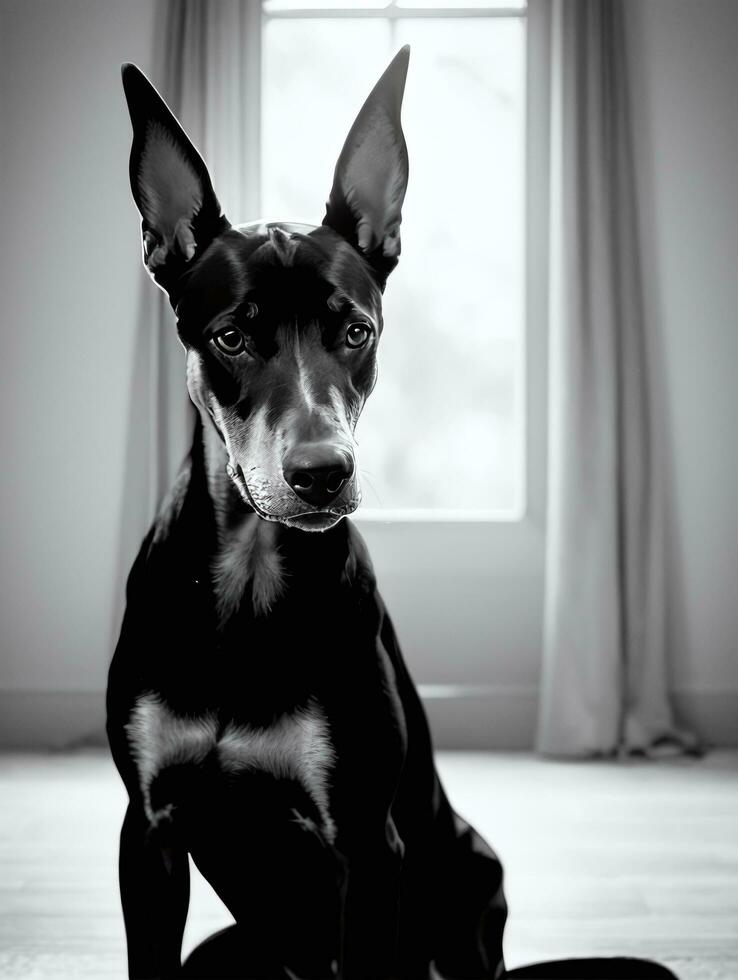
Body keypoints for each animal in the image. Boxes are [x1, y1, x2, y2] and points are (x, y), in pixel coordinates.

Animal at [106, 47, 676, 980]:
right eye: (231, 336)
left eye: (356, 331)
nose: (321, 474)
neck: (250, 582)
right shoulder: (147, 835)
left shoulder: (370, 849)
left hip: (472, 879)